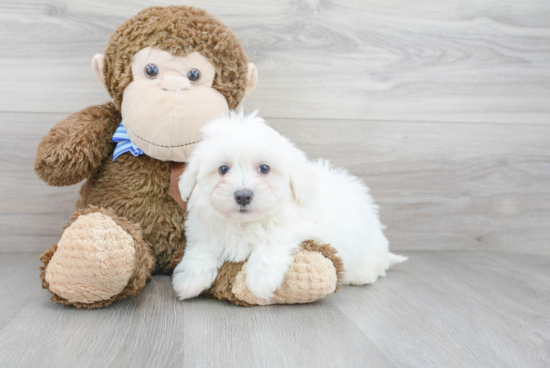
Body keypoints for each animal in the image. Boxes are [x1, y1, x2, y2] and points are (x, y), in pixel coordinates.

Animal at [175, 110, 408, 300]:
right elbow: (202, 250)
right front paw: (189, 279)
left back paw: (362, 273)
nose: (242, 196)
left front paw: (260, 280)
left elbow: (273, 239)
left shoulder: (304, 226)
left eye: (265, 168)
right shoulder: (206, 231)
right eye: (223, 169)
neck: (246, 223)